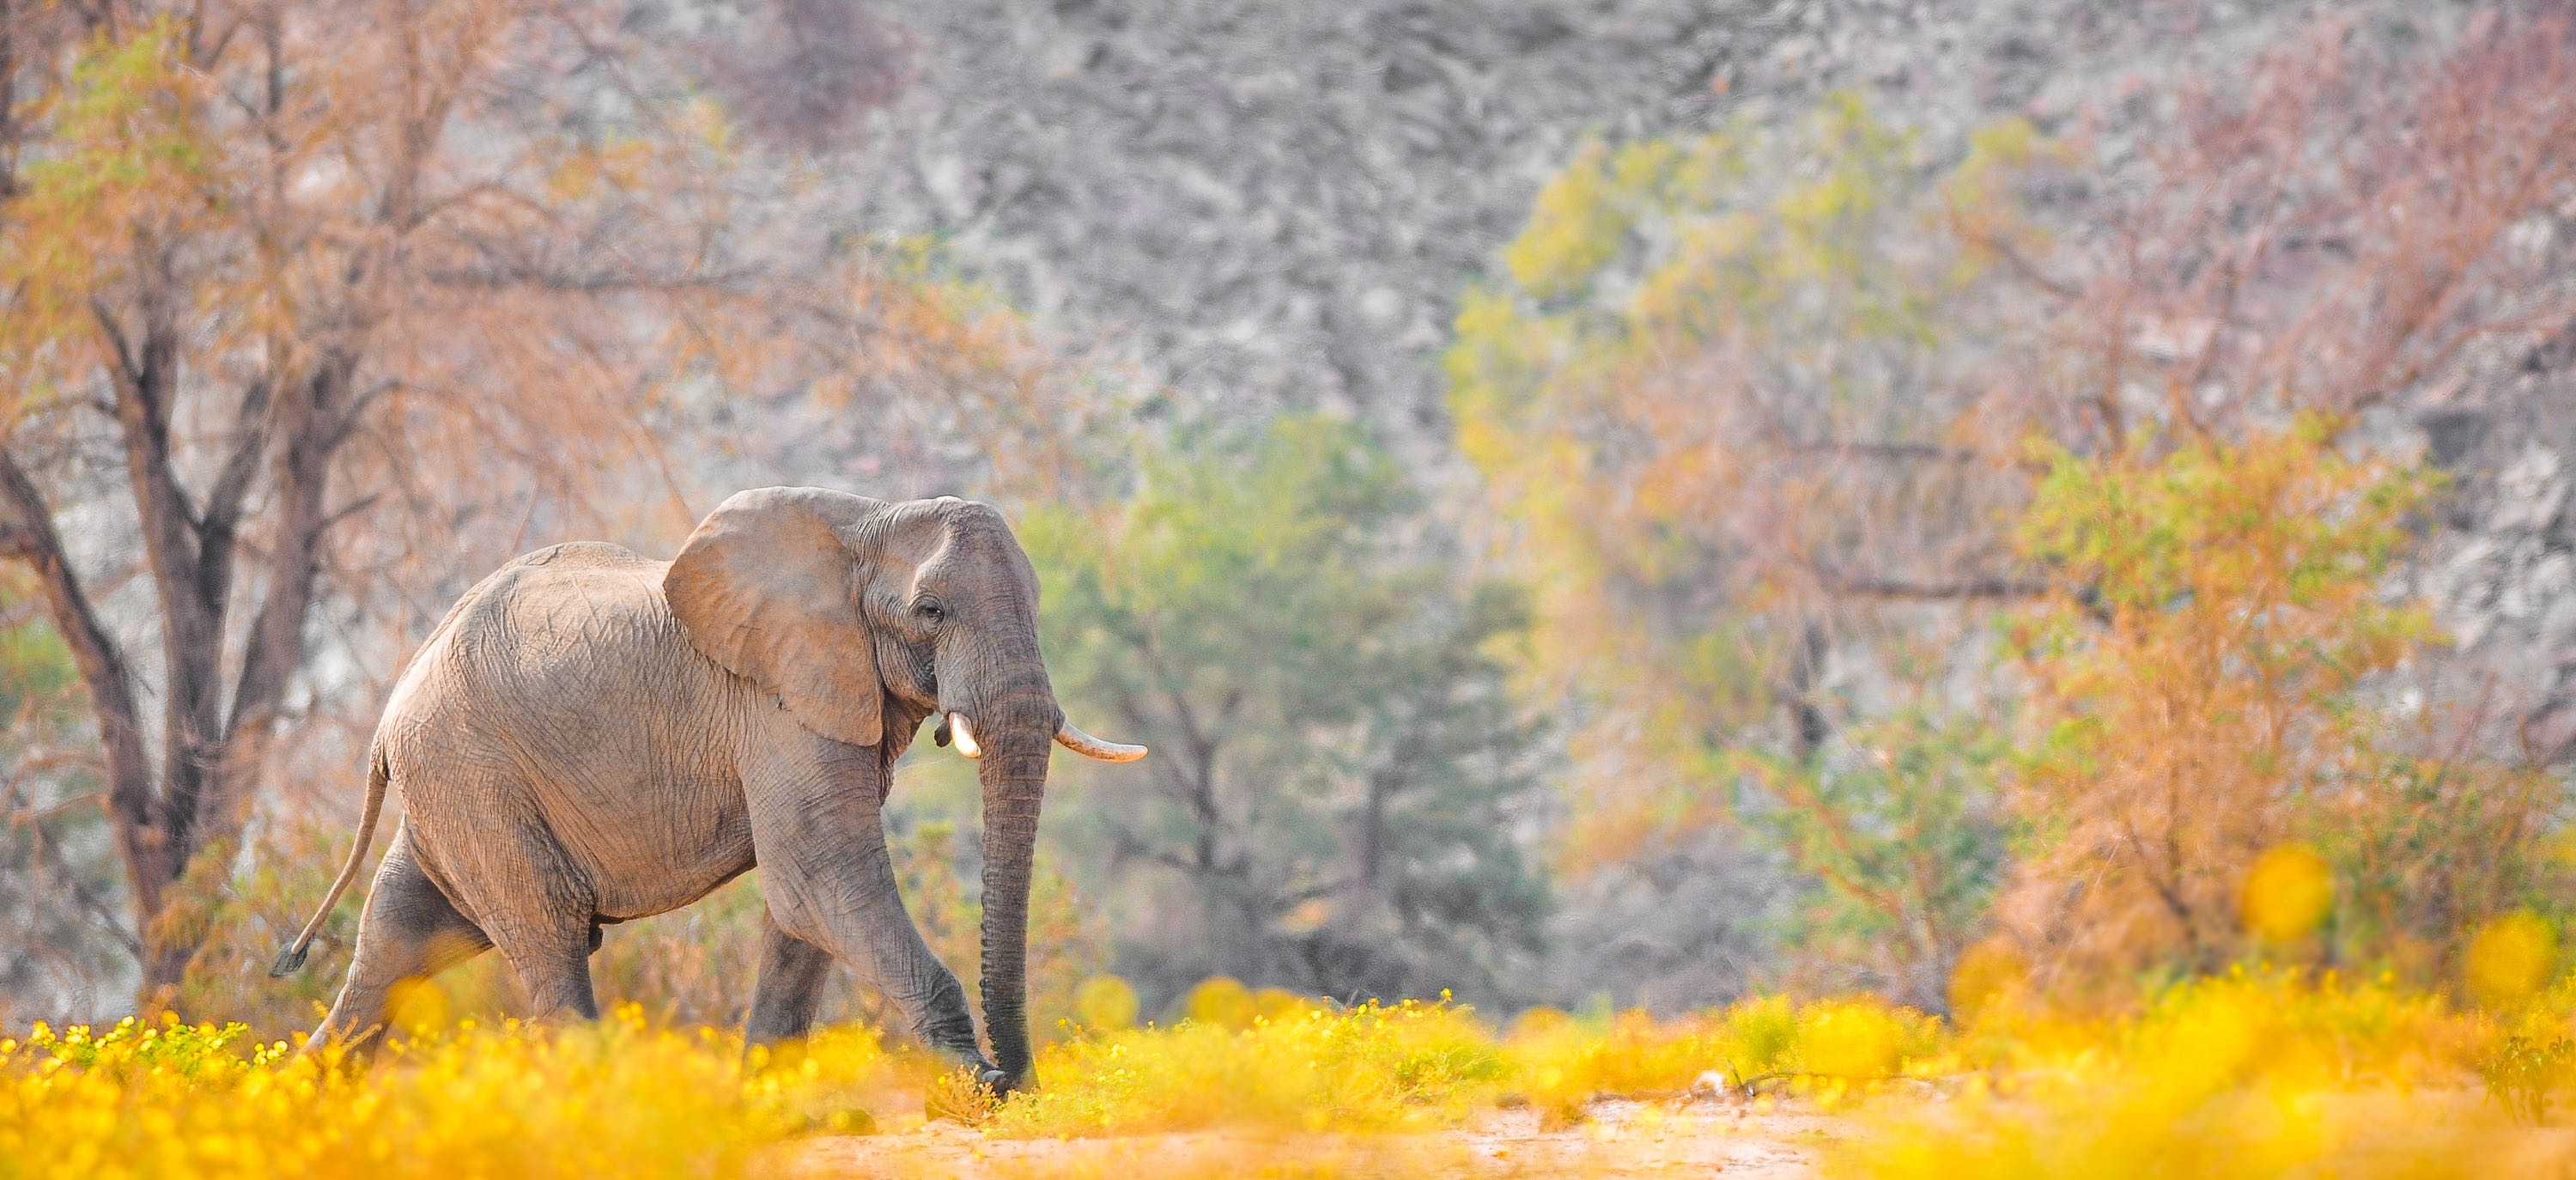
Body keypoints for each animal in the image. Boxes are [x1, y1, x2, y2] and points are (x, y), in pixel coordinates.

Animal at [268, 488, 1144, 1091]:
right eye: (930, 610)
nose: (1023, 1077)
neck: (868, 521)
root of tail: (390, 711)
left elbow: (802, 904)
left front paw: (765, 1104)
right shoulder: (777, 701)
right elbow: (822, 878)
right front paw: (980, 1090)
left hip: (453, 788)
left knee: (399, 942)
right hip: (471, 773)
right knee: (546, 935)